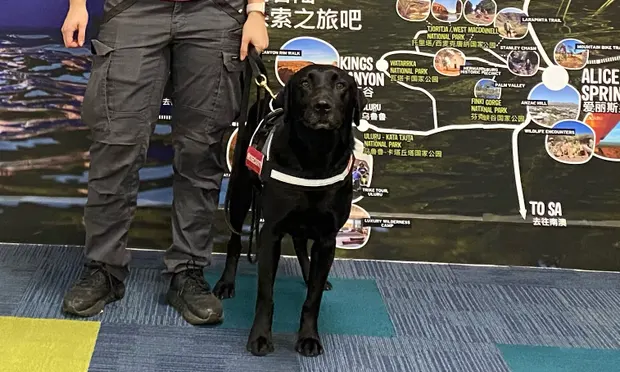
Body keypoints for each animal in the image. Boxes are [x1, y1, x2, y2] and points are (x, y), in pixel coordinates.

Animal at [214, 64, 366, 358]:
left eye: (341, 85)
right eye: (305, 83)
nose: (322, 105)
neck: (316, 155)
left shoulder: (327, 238)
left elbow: (313, 299)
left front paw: (308, 337)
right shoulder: (270, 234)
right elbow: (265, 295)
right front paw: (260, 337)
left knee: (300, 244)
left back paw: (309, 275)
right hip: (239, 193)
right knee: (235, 241)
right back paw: (226, 283)